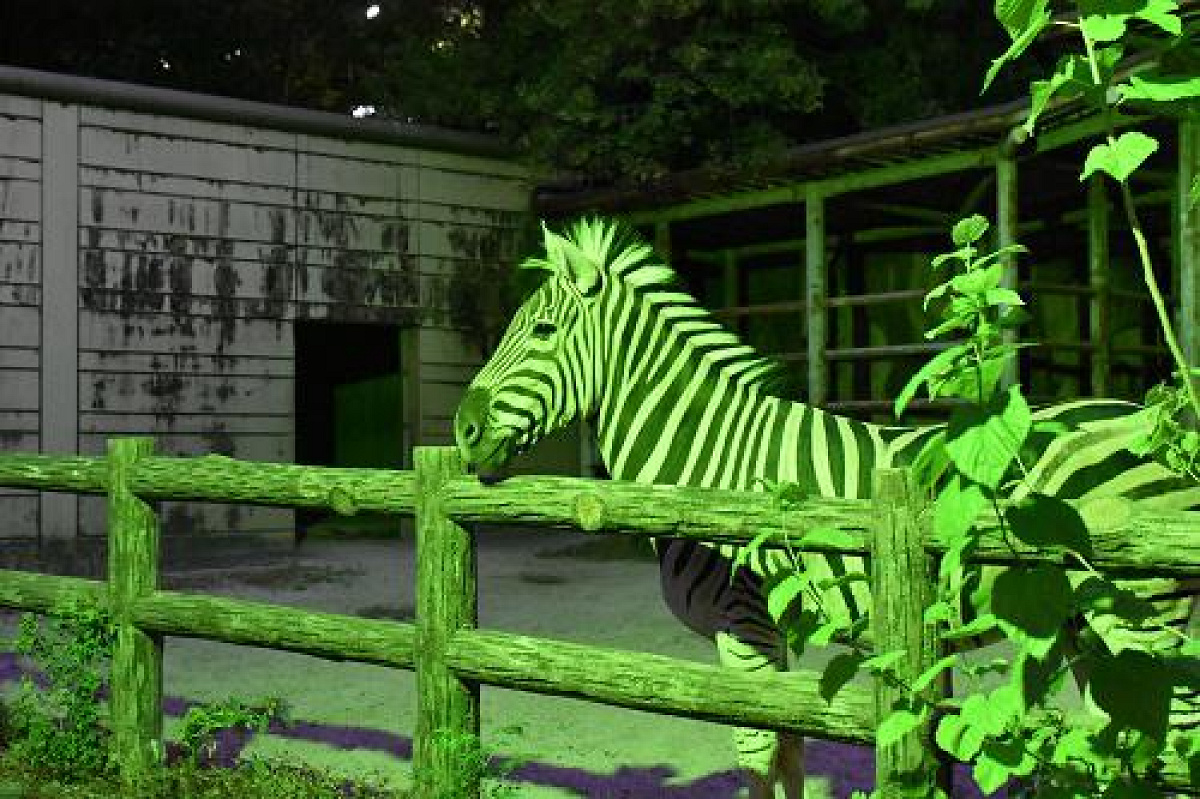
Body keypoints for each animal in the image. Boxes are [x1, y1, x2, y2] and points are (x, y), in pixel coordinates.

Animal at [451, 218, 1200, 796]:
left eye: (542, 331)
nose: (461, 430)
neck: (708, 454)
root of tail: (1159, 424)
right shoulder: (771, 631)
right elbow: (788, 749)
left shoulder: (742, 619)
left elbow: (756, 754)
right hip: (1084, 622)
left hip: (1144, 616)